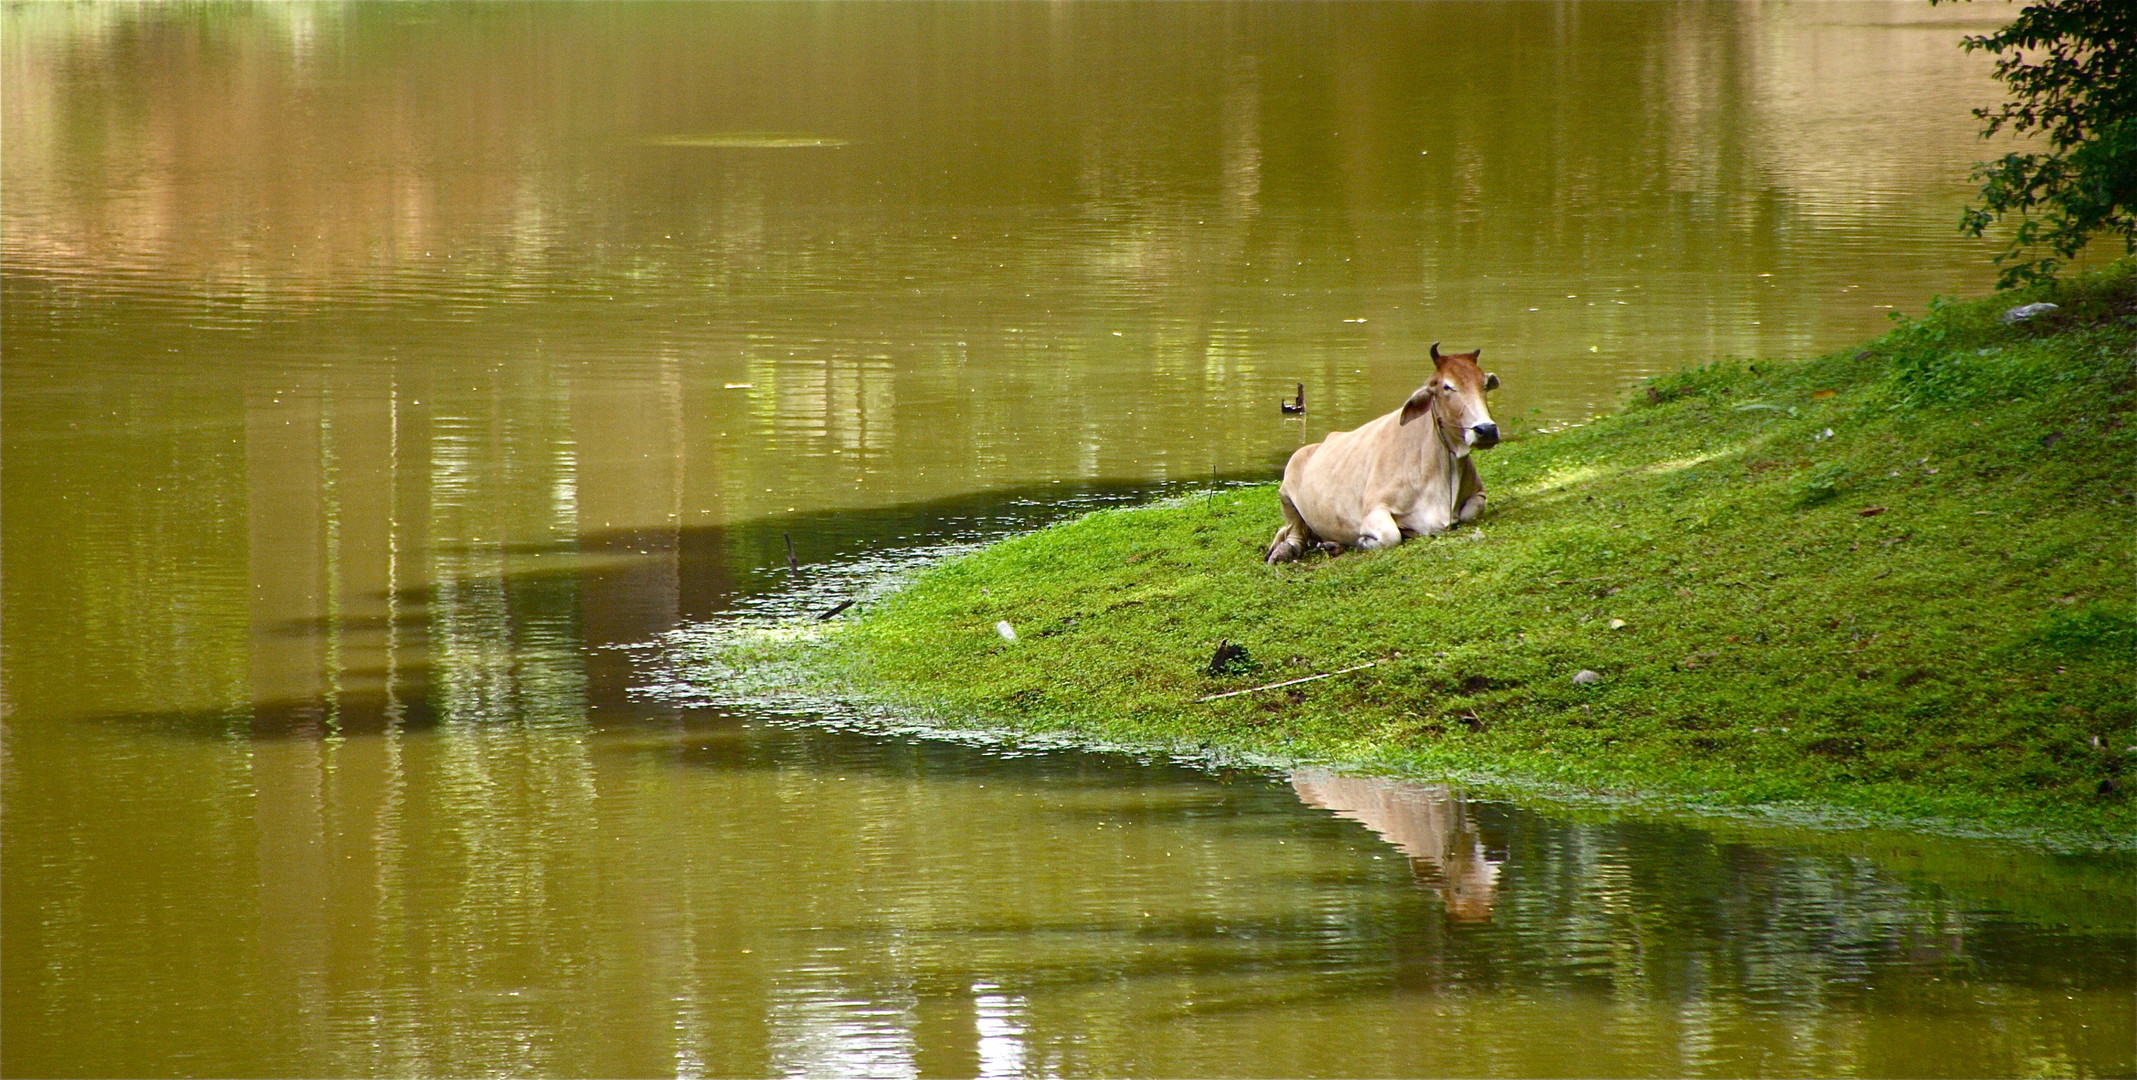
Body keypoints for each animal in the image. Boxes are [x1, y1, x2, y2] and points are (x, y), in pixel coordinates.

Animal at [1265, 342, 1504, 564]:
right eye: (1447, 386)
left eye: (1483, 384)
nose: (1486, 429)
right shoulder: (1375, 509)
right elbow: (1391, 536)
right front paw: (1363, 541)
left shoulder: (1478, 494)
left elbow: (1469, 512)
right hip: (1286, 491)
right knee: (1295, 534)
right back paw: (1286, 550)